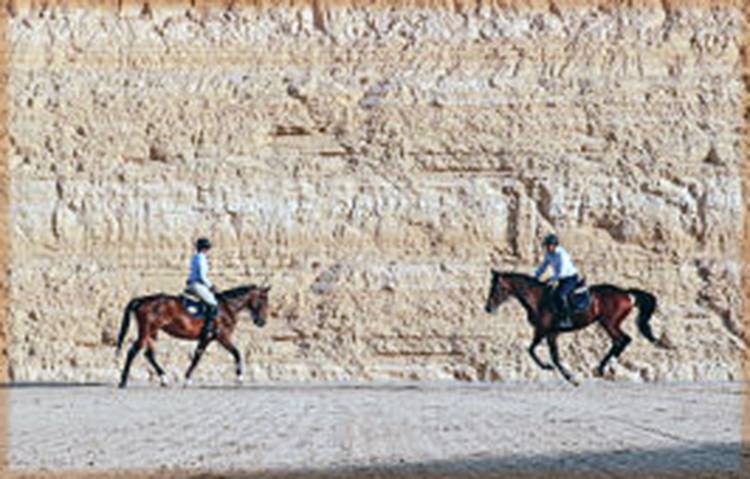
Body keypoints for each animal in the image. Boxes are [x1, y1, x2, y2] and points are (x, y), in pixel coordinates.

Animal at [116, 284, 272, 390]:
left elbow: (197, 357)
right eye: (263, 301)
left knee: (149, 354)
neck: (227, 308)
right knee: (132, 352)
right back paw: (123, 381)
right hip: (145, 333)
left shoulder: (206, 339)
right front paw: (239, 378)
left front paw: (187, 379)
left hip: (152, 334)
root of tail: (143, 300)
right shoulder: (222, 337)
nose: (262, 322)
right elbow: (236, 353)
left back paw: (164, 379)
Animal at [484, 270, 672, 386]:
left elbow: (533, 350)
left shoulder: (544, 331)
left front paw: (553, 370)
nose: (488, 308)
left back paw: (604, 367)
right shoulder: (551, 334)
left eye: (496, 288)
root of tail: (626, 294)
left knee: (623, 339)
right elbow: (552, 356)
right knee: (621, 341)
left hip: (609, 323)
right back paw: (605, 367)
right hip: (609, 323)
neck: (537, 299)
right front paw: (570, 377)